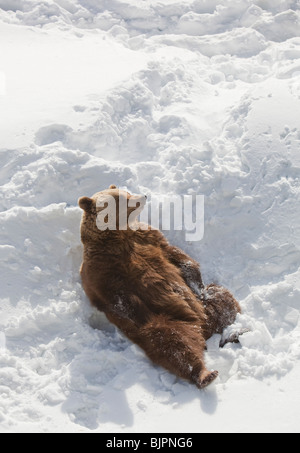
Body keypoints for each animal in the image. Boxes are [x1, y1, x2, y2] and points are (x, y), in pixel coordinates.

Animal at [78, 184, 241, 388]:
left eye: (127, 193)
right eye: (122, 199)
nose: (142, 196)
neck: (116, 237)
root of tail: (205, 329)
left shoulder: (149, 237)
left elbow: (177, 256)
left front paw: (196, 283)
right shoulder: (101, 270)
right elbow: (117, 298)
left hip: (206, 306)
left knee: (222, 298)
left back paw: (234, 330)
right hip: (167, 321)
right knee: (173, 344)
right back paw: (204, 374)